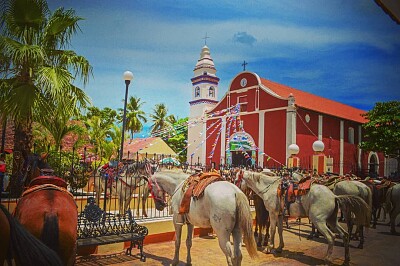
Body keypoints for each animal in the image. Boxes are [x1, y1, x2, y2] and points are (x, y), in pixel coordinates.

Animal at [238, 170, 372, 264]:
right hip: (332, 220)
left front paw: (269, 247)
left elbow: (272, 230)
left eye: (237, 178)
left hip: (319, 220)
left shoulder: (273, 213)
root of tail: (334, 196)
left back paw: (327, 258)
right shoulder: (280, 215)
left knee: (331, 236)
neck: (270, 188)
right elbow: (280, 230)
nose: (237, 189)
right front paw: (280, 247)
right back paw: (346, 259)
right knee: (344, 235)